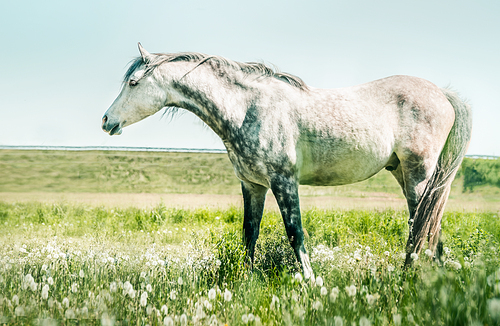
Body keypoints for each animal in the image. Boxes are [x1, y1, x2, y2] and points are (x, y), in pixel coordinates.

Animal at [102, 42, 472, 278]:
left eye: (133, 82)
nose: (106, 121)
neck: (248, 108)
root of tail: (442, 94)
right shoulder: (253, 185)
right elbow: (249, 233)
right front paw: (245, 278)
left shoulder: (284, 181)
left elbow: (295, 233)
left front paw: (309, 281)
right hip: (403, 173)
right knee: (427, 224)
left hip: (418, 174)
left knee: (425, 223)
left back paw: (412, 276)